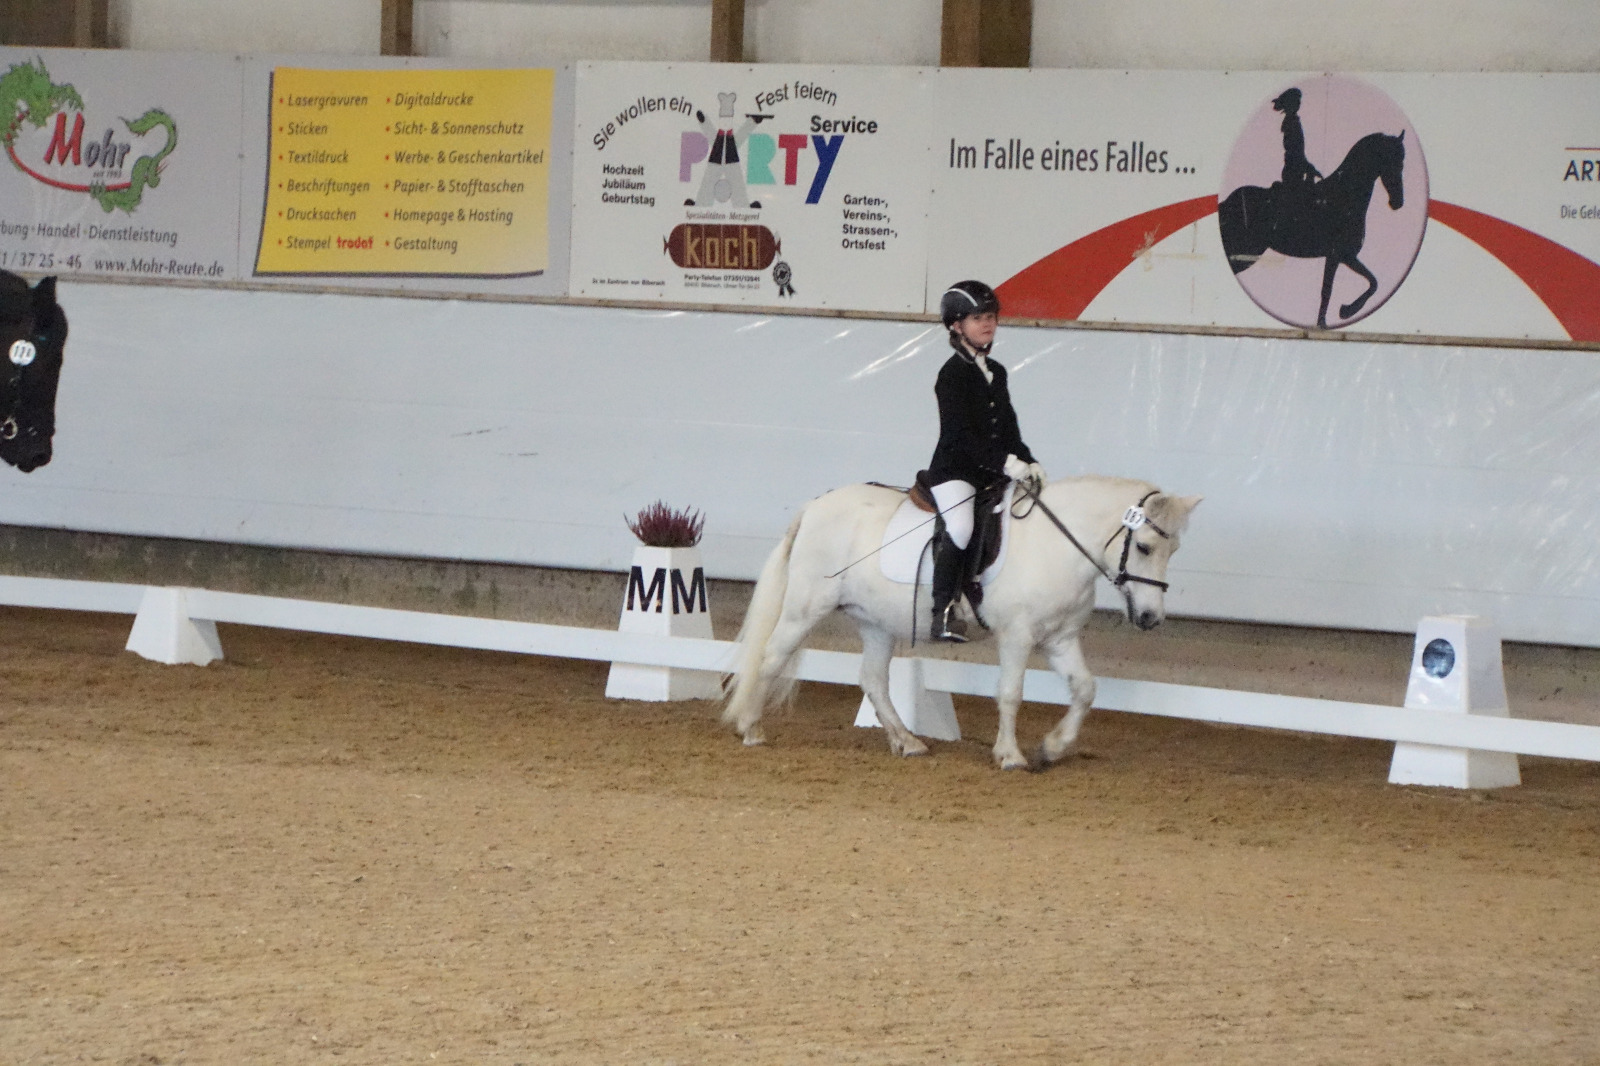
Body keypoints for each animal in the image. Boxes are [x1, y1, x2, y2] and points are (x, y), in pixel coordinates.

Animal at [722, 477, 1201, 770]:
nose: (1151, 618)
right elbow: (1010, 693)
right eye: (1143, 546)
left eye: (1174, 550)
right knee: (770, 658)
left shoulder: (1060, 639)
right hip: (805, 607)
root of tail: (816, 505)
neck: (1053, 546)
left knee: (873, 679)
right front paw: (1010, 755)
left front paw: (1052, 748)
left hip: (876, 622)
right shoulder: (1017, 636)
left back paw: (908, 742)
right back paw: (751, 728)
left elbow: (1085, 689)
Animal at [1217, 130, 1407, 329]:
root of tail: (1228, 202)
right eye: (1389, 159)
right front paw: (1343, 312)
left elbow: (1369, 283)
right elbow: (1333, 290)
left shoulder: (1344, 257)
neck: (1342, 197)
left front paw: (1342, 312)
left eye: (1402, 160)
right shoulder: (1338, 255)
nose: (1397, 202)